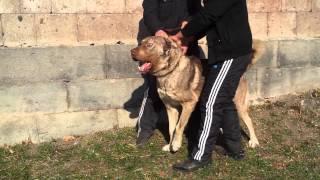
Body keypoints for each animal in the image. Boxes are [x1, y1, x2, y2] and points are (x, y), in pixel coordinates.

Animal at [130, 36, 262, 152]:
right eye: (141, 43)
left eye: (149, 45)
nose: (131, 52)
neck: (169, 72)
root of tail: (242, 71)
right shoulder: (170, 107)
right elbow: (171, 129)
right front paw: (169, 145)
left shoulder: (189, 104)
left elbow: (178, 126)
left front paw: (176, 144)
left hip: (238, 104)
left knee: (249, 120)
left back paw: (254, 141)